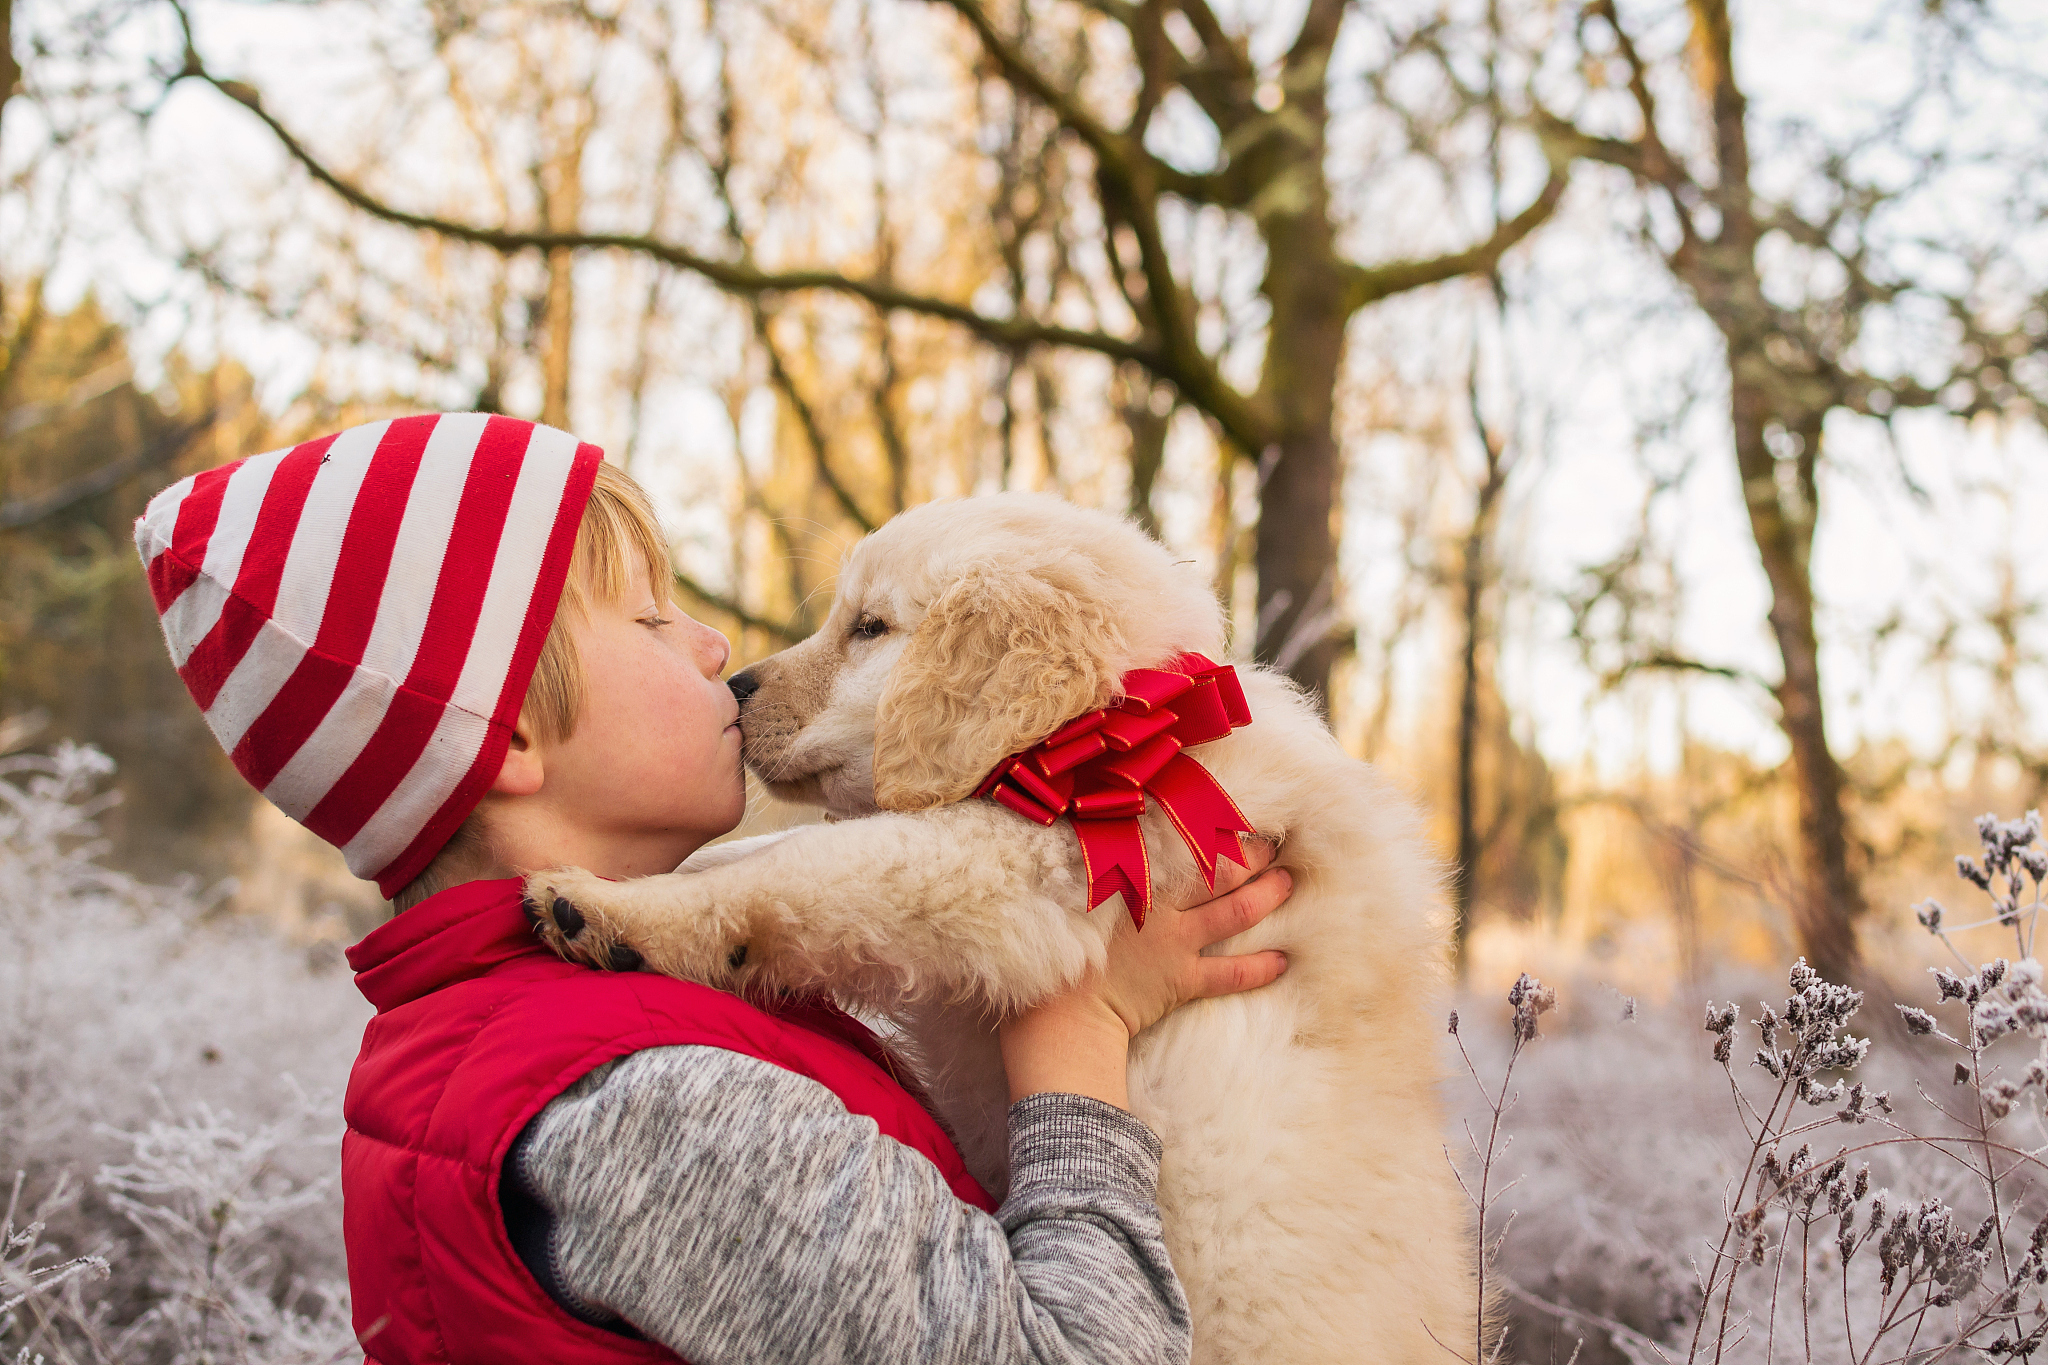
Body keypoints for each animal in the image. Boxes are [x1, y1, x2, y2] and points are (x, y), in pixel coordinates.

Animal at [528, 497, 1474, 1358]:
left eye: (869, 626)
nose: (731, 687)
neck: (1115, 732)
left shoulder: (1036, 870)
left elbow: (819, 863)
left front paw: (611, 907)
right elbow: (777, 845)